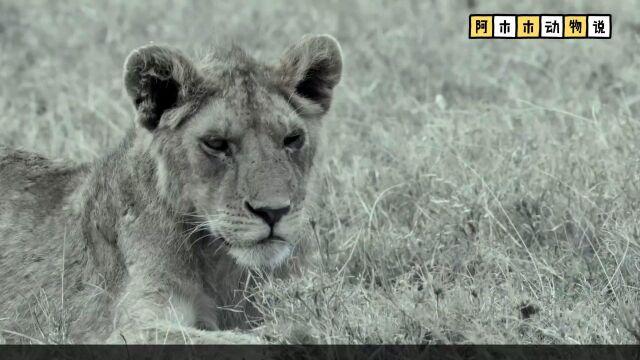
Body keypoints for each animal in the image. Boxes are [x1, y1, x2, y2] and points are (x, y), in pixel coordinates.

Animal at [0, 35, 342, 344]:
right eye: (216, 144)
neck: (222, 267)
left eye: (292, 139)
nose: (274, 211)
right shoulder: (133, 327)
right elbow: (240, 341)